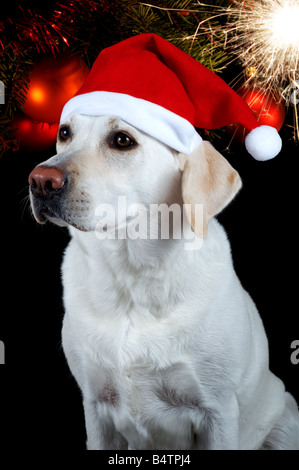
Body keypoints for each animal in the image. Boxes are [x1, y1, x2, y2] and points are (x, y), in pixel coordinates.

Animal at [29, 114, 299, 452]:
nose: (39, 180)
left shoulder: (218, 411)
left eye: (122, 140)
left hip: (287, 415)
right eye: (64, 133)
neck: (132, 276)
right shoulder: (95, 406)